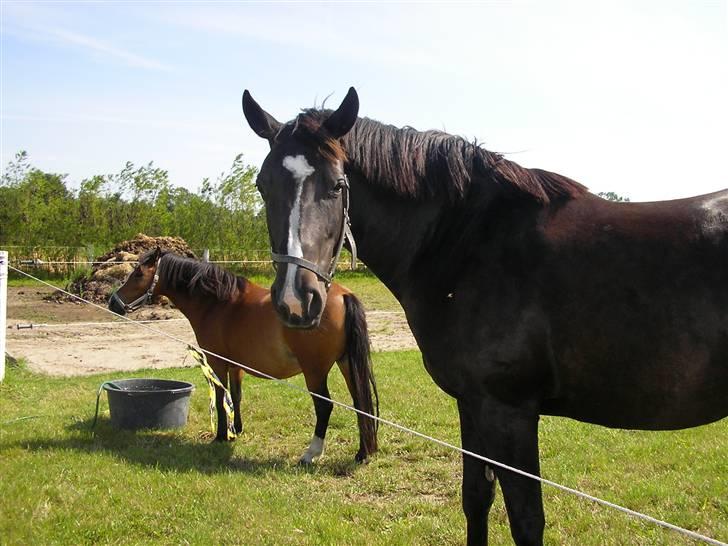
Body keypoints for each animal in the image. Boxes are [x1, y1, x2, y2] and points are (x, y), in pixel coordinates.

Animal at [110, 248, 382, 464]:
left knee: (324, 406)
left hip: (314, 371)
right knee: (361, 403)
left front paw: (221, 436)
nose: (113, 303)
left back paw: (310, 454)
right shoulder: (235, 365)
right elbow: (236, 396)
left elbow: (221, 396)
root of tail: (343, 296)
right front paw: (236, 430)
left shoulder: (217, 362)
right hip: (346, 363)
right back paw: (362, 453)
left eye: (138, 274)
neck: (218, 302)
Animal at [242, 87, 724, 540]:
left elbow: (526, 520)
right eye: (263, 185)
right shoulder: (473, 405)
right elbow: (476, 500)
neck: (471, 244)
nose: (295, 300)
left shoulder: (509, 412)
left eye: (338, 185)